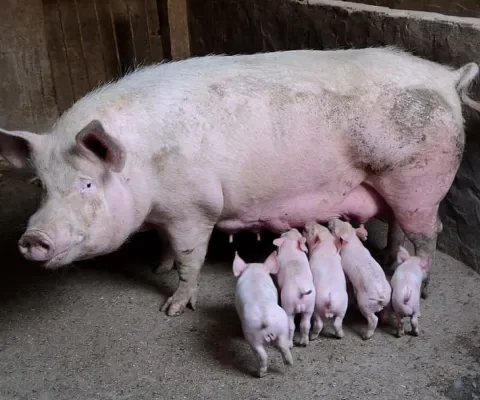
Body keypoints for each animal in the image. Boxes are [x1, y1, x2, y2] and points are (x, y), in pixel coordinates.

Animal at [0, 46, 480, 316]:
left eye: (86, 184)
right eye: (41, 185)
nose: (32, 239)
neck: (143, 168)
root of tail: (446, 77)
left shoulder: (193, 209)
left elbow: (189, 258)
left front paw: (173, 308)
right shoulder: (165, 213)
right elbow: (164, 245)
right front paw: (156, 266)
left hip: (419, 179)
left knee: (429, 233)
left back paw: (420, 283)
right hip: (397, 186)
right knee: (400, 225)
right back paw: (388, 258)